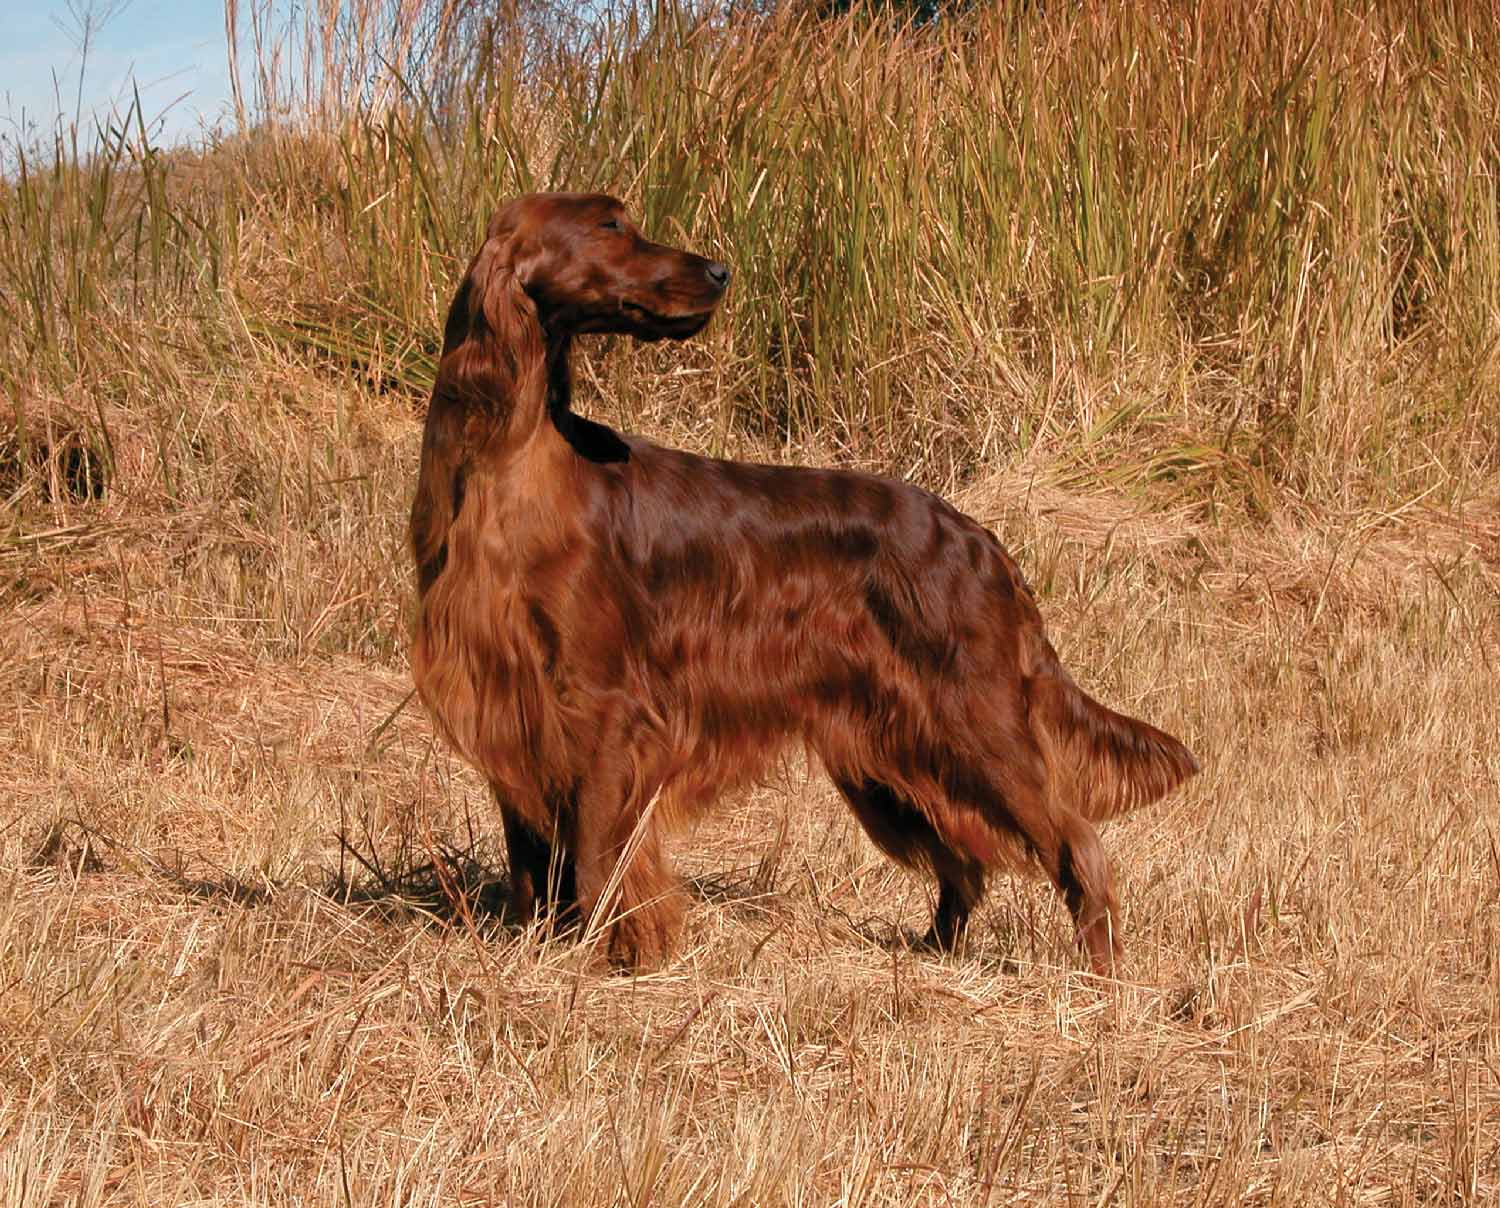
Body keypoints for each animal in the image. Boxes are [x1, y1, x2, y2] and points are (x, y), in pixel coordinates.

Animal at [408, 193, 1194, 978]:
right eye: (610, 228)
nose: (720, 270)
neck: (512, 464)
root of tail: (979, 539)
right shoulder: (510, 703)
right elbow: (532, 863)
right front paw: (536, 951)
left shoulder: (603, 710)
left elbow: (597, 862)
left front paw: (596, 964)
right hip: (894, 754)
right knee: (963, 859)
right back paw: (934, 951)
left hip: (977, 721)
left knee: (1074, 842)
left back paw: (1101, 975)